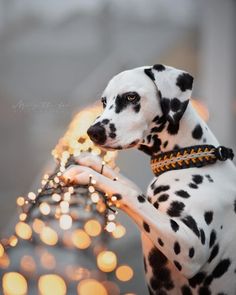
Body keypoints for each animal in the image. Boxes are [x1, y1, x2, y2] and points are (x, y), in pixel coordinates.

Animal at [62, 65, 236, 295]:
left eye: (131, 96)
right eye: (103, 101)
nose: (93, 132)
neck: (193, 159)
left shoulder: (191, 246)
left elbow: (130, 194)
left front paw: (86, 173)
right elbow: (126, 184)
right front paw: (91, 161)